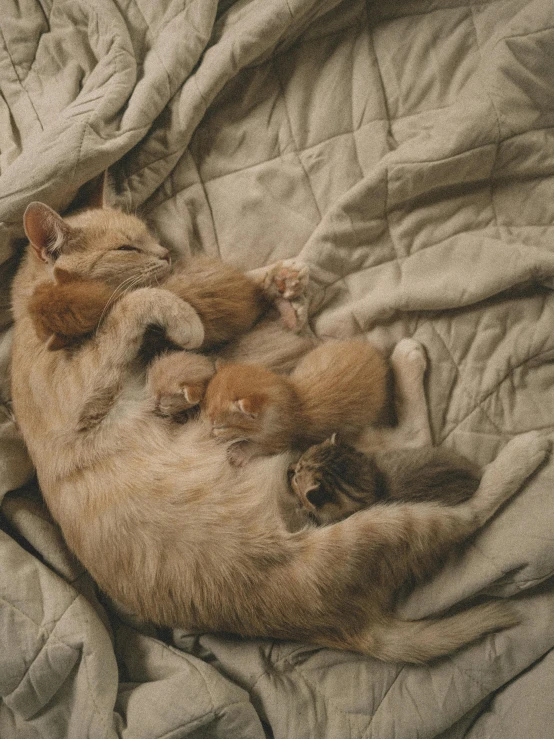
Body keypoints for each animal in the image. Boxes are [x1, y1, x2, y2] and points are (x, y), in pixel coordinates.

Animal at [9, 191, 548, 664]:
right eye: (127, 247)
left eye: (152, 237)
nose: (166, 253)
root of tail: (349, 630)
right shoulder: (80, 390)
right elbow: (135, 301)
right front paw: (184, 315)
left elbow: (182, 293)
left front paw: (277, 281)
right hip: (364, 529)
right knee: (467, 511)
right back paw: (526, 447)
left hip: (329, 448)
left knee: (415, 447)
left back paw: (405, 357)